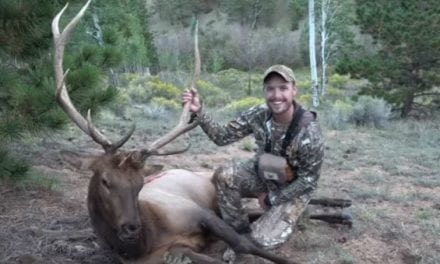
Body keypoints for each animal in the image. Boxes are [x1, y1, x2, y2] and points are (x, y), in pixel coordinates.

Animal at [53, 1, 298, 262]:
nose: (132, 227)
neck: (145, 242)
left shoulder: (198, 213)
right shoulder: (176, 249)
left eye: (139, 184)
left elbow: (244, 243)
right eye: (105, 181)